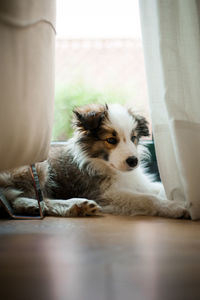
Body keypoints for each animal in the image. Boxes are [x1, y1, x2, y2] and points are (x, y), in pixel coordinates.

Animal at [0, 103, 188, 218]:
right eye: (111, 140)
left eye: (133, 137)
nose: (133, 161)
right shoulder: (103, 194)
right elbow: (147, 199)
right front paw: (177, 207)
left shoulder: (137, 183)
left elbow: (156, 188)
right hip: (38, 166)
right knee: (21, 199)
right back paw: (74, 205)